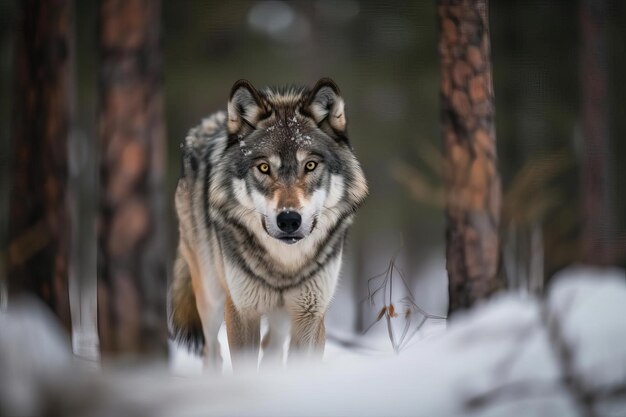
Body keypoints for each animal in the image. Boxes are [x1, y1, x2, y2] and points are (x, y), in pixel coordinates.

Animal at [168, 79, 368, 370]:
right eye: (263, 167)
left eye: (310, 165)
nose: (289, 220)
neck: (284, 265)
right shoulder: (242, 311)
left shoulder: (310, 315)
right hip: (211, 296)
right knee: (211, 350)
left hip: (281, 316)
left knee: (270, 347)